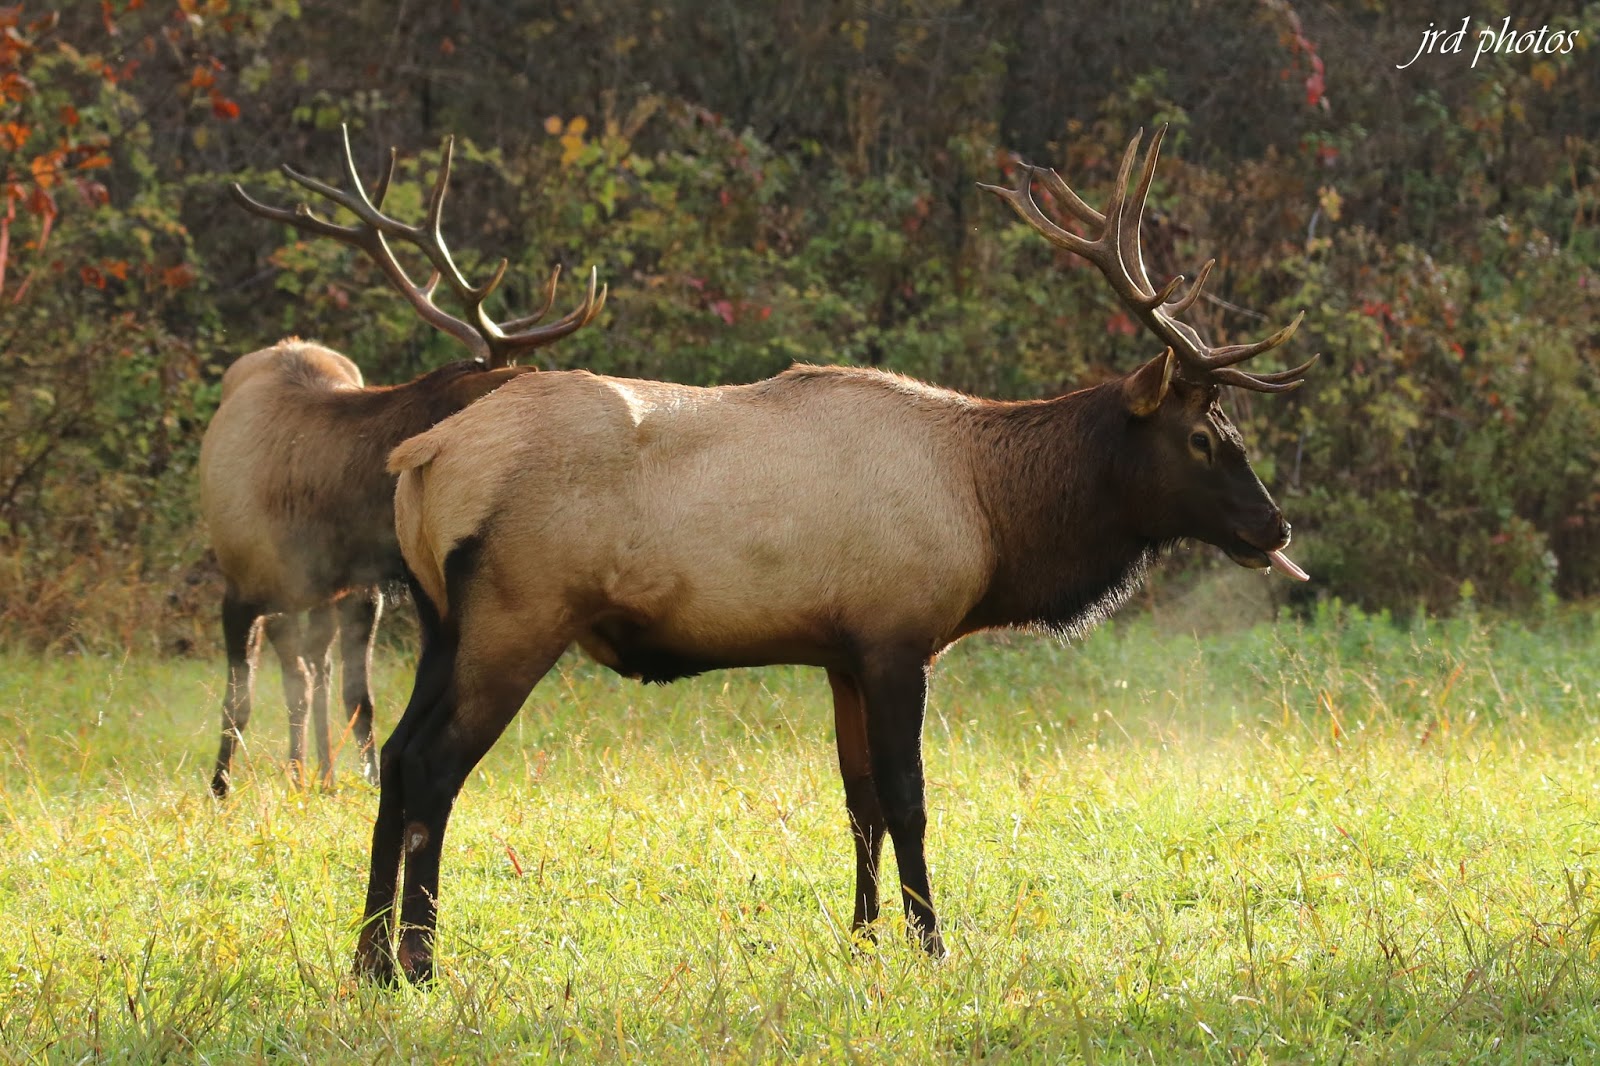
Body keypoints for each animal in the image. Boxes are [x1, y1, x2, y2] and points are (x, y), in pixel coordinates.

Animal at [200, 129, 605, 798]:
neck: (321, 514)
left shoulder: (364, 590)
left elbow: (359, 698)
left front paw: (364, 778)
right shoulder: (237, 586)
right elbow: (238, 701)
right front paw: (220, 789)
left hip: (327, 600)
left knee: (314, 673)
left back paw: (316, 771)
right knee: (294, 676)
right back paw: (297, 770)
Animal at [353, 127, 1316, 984]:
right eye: (1202, 437)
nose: (1273, 528)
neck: (994, 513)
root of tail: (421, 458)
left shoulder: (841, 652)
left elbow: (859, 802)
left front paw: (862, 938)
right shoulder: (898, 638)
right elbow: (908, 796)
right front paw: (933, 945)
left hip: (440, 620)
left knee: (393, 757)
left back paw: (367, 961)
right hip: (518, 614)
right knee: (435, 765)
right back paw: (420, 961)